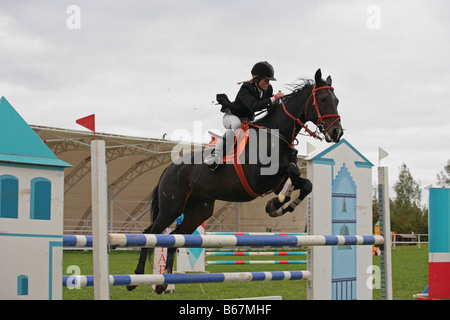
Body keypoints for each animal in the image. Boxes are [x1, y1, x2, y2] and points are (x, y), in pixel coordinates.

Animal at [126, 69, 342, 294]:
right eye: (323, 99)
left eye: (336, 100)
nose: (337, 132)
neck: (276, 136)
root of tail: (169, 168)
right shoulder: (259, 177)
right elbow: (292, 170)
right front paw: (279, 202)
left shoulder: (277, 181)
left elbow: (305, 183)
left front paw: (277, 206)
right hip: (172, 207)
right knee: (150, 233)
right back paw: (136, 278)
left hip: (198, 211)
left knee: (175, 238)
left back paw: (163, 282)